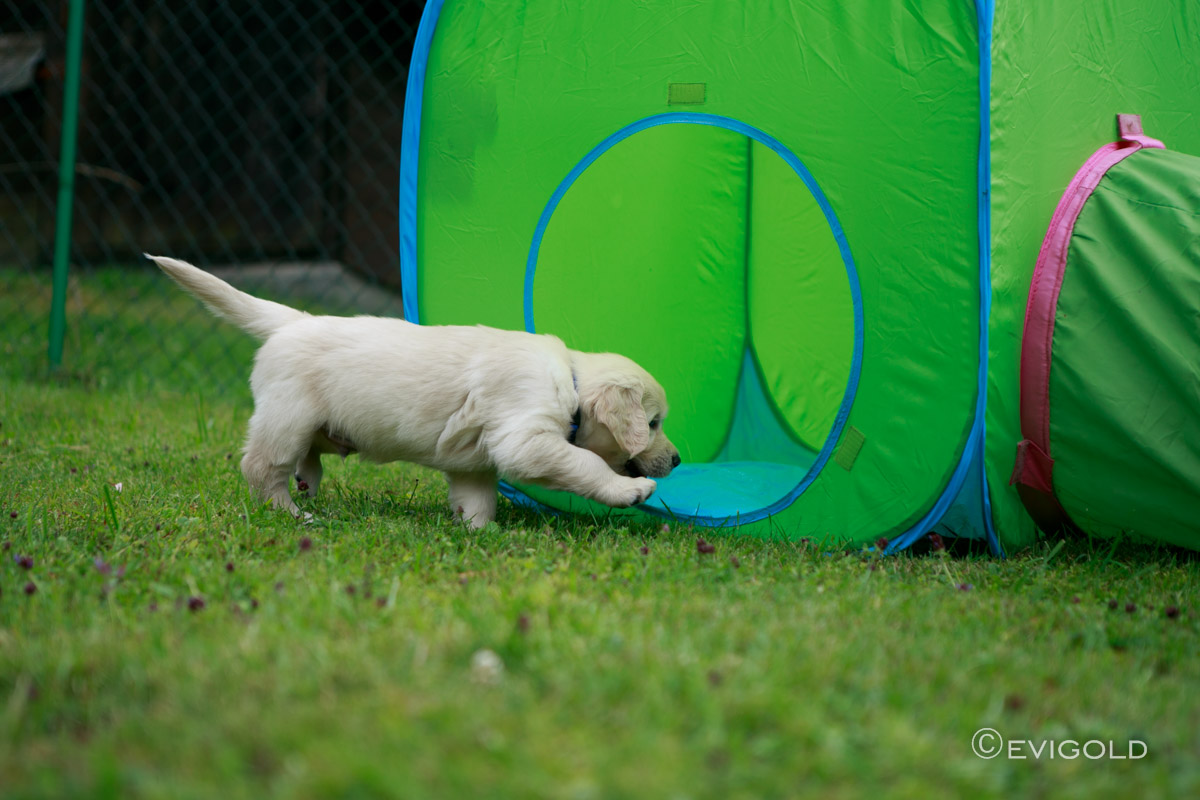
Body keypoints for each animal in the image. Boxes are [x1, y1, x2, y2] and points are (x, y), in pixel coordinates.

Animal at [147, 255, 680, 528]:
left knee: (304, 458)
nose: (676, 461)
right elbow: (582, 463)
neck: (569, 379)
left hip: (313, 423)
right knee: (261, 467)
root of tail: (293, 322)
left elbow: (477, 498)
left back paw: (307, 483)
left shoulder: (475, 462)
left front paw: (481, 533)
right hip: (287, 415)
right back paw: (293, 513)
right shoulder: (524, 438)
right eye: (653, 423)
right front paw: (629, 491)